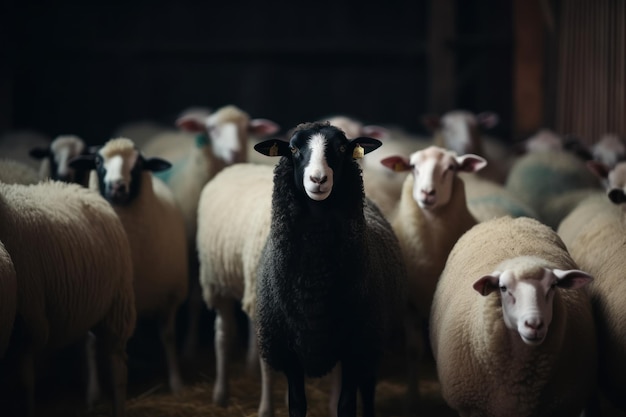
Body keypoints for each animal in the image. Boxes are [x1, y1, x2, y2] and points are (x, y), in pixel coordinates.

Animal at [0, 177, 135, 414]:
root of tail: (78, 187)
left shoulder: (27, 322)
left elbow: (25, 383)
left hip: (118, 302)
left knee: (117, 364)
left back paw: (118, 407)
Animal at [70, 137, 188, 394]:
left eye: (139, 164)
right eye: (97, 161)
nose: (116, 187)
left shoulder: (170, 297)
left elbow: (168, 336)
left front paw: (176, 383)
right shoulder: (97, 300)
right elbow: (92, 344)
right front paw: (93, 392)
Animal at [376, 145, 482, 404]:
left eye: (451, 168)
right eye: (413, 167)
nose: (427, 193)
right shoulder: (409, 305)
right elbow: (414, 351)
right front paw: (412, 399)